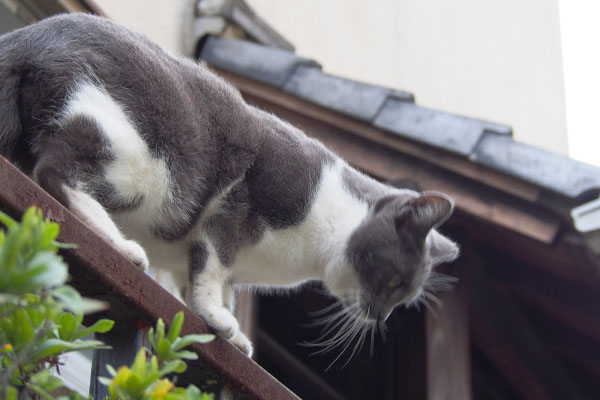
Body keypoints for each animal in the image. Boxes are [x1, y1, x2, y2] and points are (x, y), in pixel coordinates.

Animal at [0, 14, 460, 356]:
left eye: (403, 298)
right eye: (395, 282)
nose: (381, 317)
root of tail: (26, 37)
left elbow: (211, 283)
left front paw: (229, 331)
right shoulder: (239, 198)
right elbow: (213, 266)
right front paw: (218, 318)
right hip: (138, 158)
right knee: (54, 171)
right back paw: (120, 244)